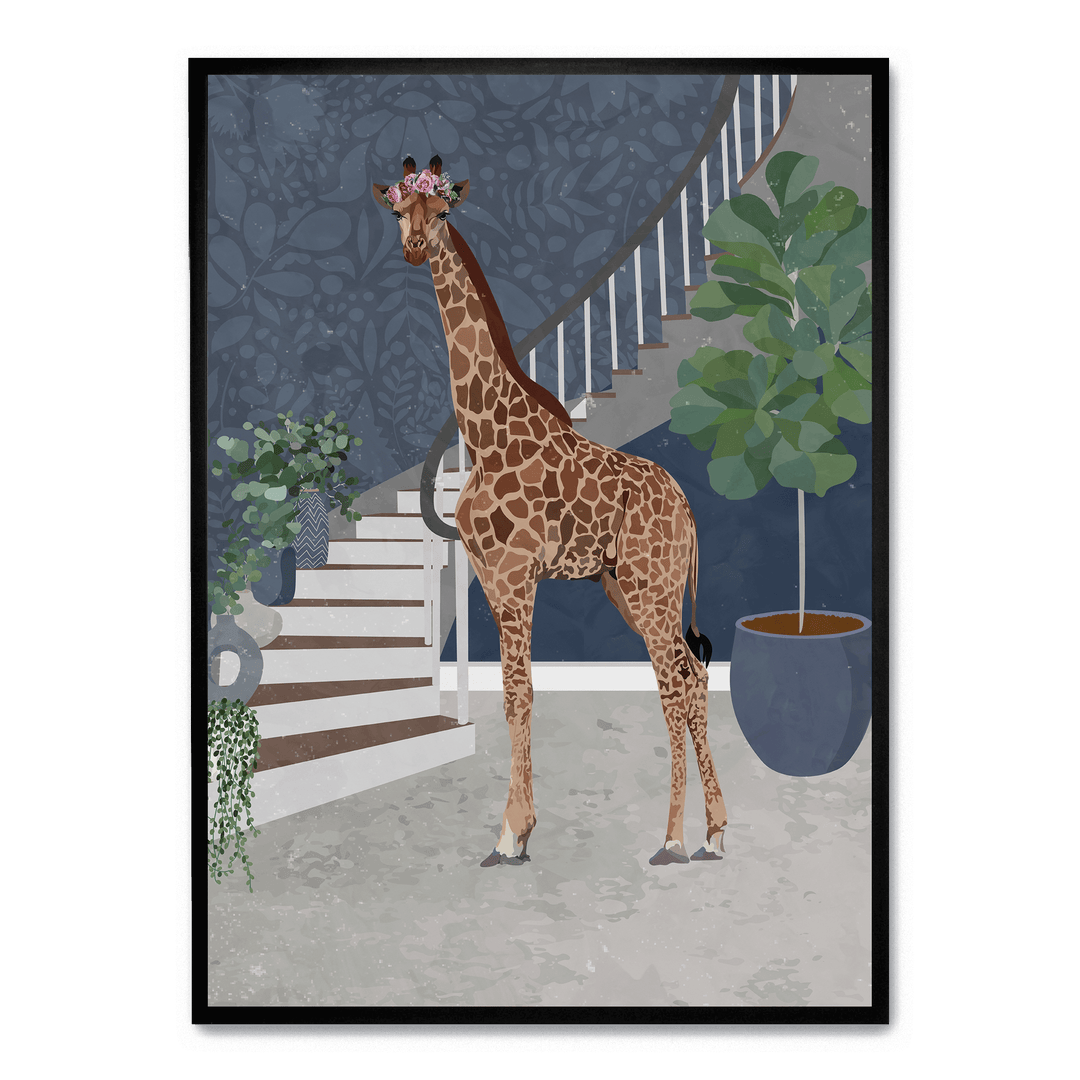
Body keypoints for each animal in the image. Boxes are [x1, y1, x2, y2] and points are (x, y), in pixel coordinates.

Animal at [373, 155, 728, 866]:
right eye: (398, 210)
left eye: (443, 211)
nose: (416, 246)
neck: (485, 432)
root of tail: (687, 508)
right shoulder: (488, 576)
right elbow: (514, 696)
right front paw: (521, 828)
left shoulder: (515, 575)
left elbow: (520, 691)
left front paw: (511, 833)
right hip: (631, 587)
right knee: (692, 676)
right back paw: (714, 832)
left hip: (651, 587)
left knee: (675, 682)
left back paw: (673, 838)